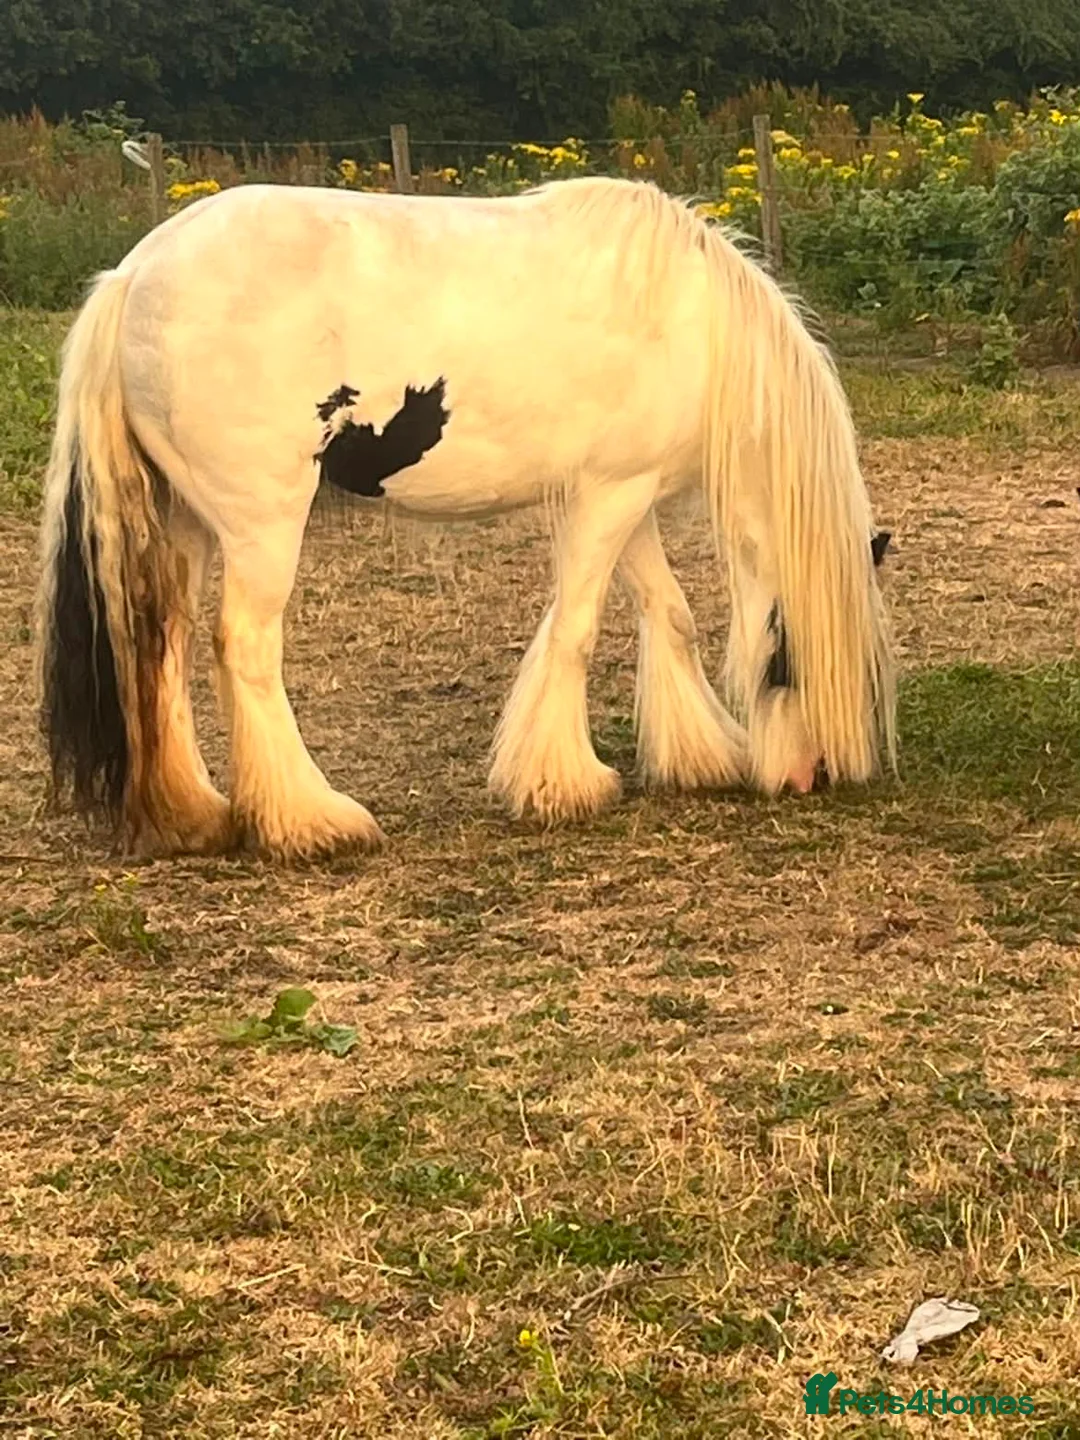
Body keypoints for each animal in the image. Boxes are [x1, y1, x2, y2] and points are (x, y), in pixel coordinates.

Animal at [35, 175, 896, 859]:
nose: (808, 776)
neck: (695, 326)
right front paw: (564, 784)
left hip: (183, 521)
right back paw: (311, 821)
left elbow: (670, 612)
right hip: (261, 525)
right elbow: (579, 629)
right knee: (243, 648)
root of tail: (133, 275)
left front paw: (697, 757)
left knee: (161, 645)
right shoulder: (611, 495)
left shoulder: (624, 492)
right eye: (788, 657)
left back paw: (195, 816)